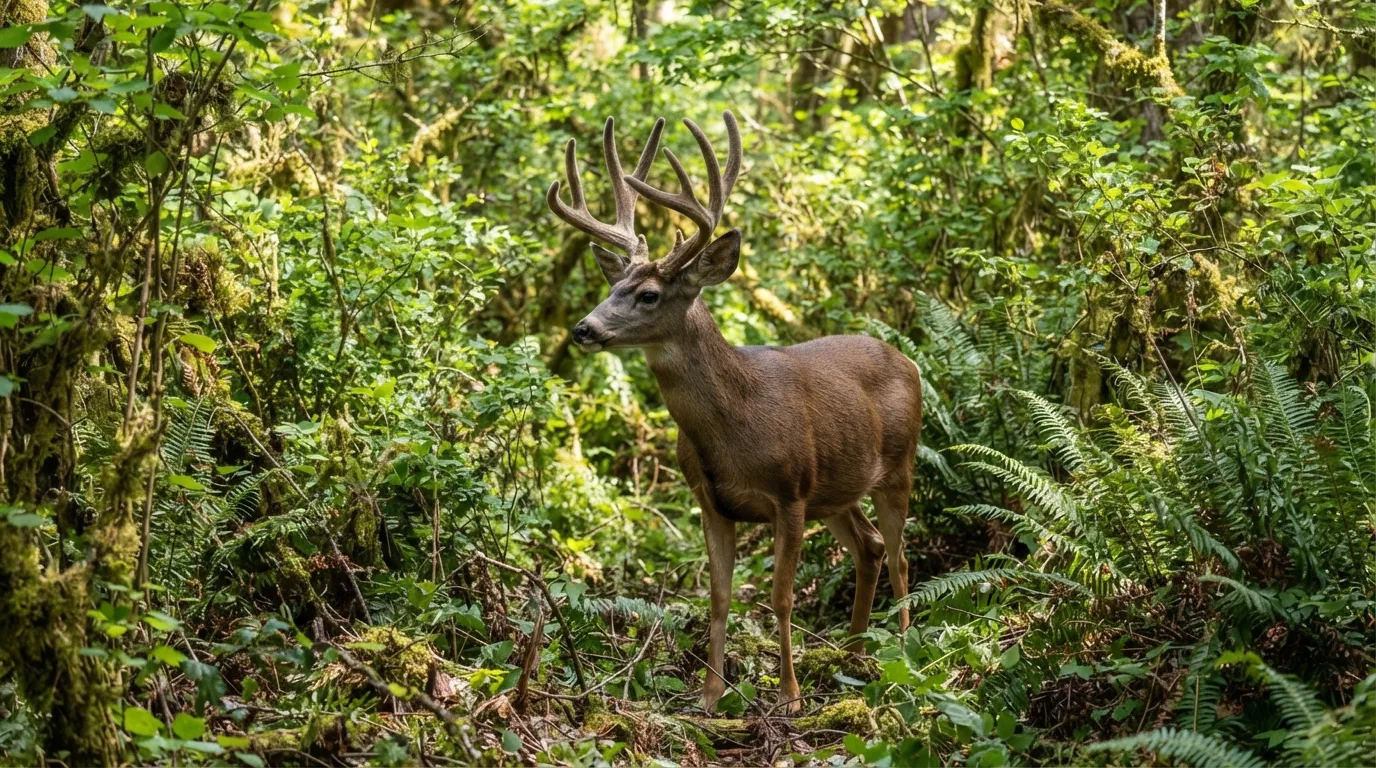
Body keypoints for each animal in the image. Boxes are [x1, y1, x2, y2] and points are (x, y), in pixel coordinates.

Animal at [546, 110, 923, 714]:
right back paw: (855, 651)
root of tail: (908, 359)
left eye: (649, 294)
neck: (734, 425)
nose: (584, 329)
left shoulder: (790, 494)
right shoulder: (712, 502)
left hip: (898, 466)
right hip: (836, 488)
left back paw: (904, 653)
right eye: (614, 283)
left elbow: (781, 597)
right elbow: (719, 598)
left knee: (900, 557)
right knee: (869, 548)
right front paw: (708, 697)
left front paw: (789, 697)